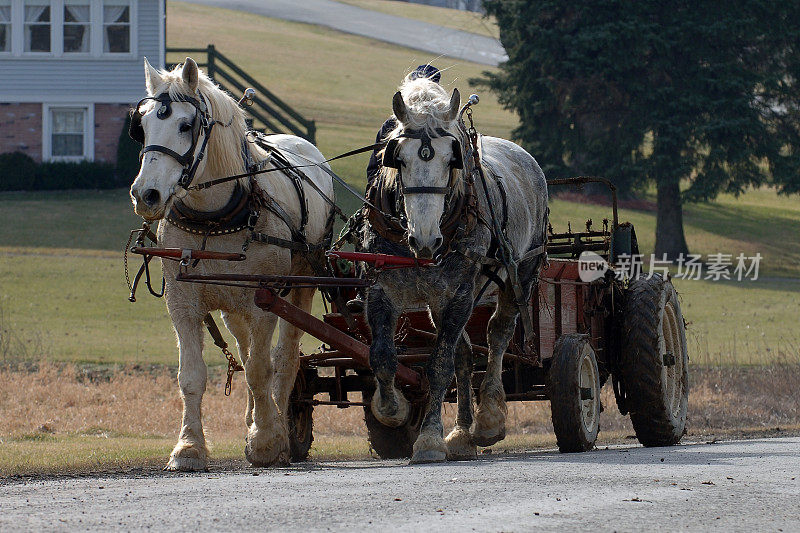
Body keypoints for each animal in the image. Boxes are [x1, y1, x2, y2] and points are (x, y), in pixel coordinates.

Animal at [130, 56, 332, 468]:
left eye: (185, 125)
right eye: (142, 127)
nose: (146, 194)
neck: (214, 219)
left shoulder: (265, 300)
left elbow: (260, 369)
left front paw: (267, 440)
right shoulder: (183, 303)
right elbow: (191, 376)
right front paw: (189, 446)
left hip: (301, 285)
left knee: (284, 359)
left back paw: (280, 427)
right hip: (232, 307)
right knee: (244, 348)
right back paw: (255, 416)